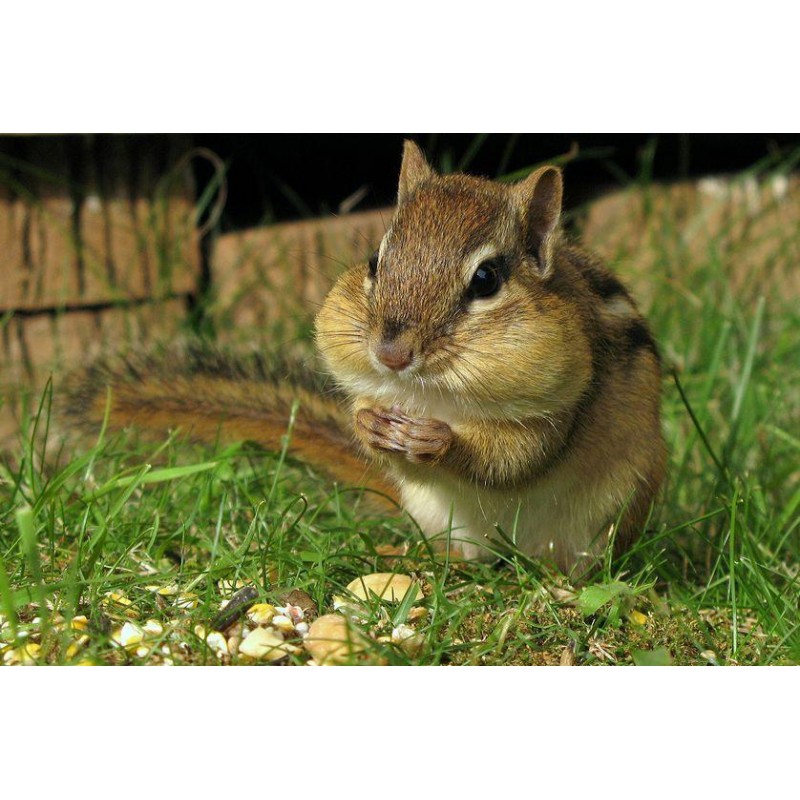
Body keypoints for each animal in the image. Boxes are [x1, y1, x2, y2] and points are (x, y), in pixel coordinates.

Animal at [62, 140, 666, 576]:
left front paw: (439, 441)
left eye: (487, 279)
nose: (390, 353)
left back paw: (561, 585)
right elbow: (368, 423)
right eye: (375, 261)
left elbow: (515, 459)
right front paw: (370, 425)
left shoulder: (553, 409)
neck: (433, 394)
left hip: (610, 517)